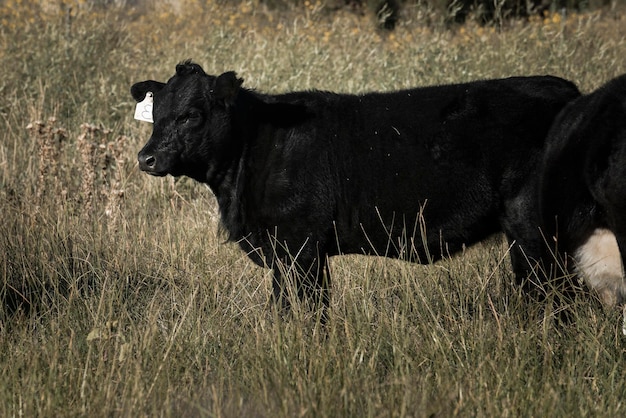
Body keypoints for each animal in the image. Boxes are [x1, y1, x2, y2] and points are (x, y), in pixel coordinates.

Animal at [129, 62, 576, 316]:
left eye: (190, 115)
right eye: (156, 112)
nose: (146, 158)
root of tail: (564, 89)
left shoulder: (300, 247)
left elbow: (306, 312)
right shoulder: (289, 252)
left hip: (533, 228)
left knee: (553, 294)